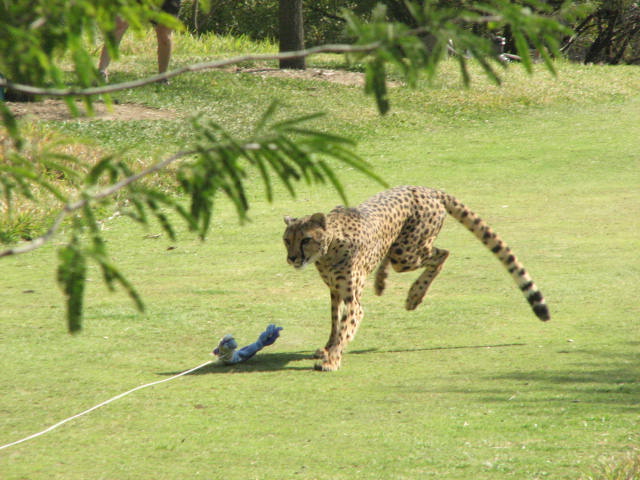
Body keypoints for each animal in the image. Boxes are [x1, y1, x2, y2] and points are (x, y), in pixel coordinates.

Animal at [283, 185, 550, 371]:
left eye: (306, 239)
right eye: (287, 240)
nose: (292, 258)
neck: (328, 249)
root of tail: (427, 189)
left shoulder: (352, 300)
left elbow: (345, 327)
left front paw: (332, 359)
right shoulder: (335, 292)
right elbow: (335, 323)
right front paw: (328, 348)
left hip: (406, 254)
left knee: (442, 254)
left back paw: (414, 295)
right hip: (400, 250)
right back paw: (381, 282)